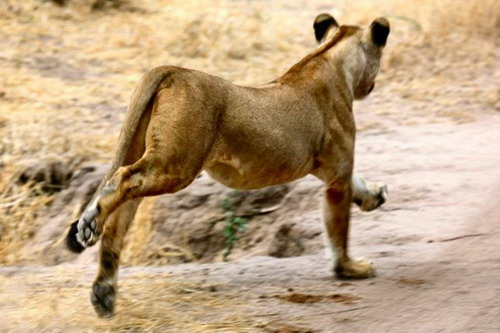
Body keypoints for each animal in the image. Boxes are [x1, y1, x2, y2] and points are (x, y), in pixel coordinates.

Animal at [63, 14, 390, 316]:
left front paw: (374, 194)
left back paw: (103, 290)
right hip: (176, 166)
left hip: (147, 153)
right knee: (122, 178)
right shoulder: (337, 172)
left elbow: (356, 184)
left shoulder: (327, 167)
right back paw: (90, 224)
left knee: (120, 215)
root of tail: (173, 70)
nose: (372, 86)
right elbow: (338, 226)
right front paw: (349, 268)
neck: (329, 59)